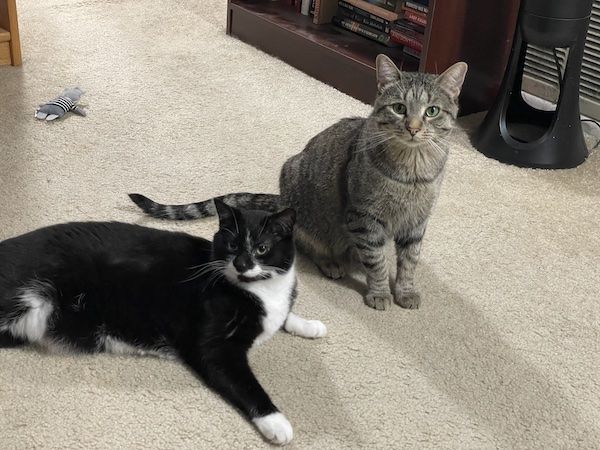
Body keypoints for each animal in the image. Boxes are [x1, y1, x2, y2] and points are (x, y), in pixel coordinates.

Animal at [0, 201, 326, 446]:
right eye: (232, 244)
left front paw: (310, 325)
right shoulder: (213, 346)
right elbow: (245, 383)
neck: (259, 291)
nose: (242, 264)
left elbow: (286, 315)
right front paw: (277, 422)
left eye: (262, 248)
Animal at [130, 55, 468, 310]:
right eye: (399, 108)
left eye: (432, 111)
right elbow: (376, 262)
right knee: (311, 244)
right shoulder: (363, 219)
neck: (413, 171)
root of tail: (281, 198)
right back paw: (332, 263)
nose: (413, 127)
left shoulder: (417, 222)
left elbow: (409, 261)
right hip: (309, 207)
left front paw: (405, 291)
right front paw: (381, 292)